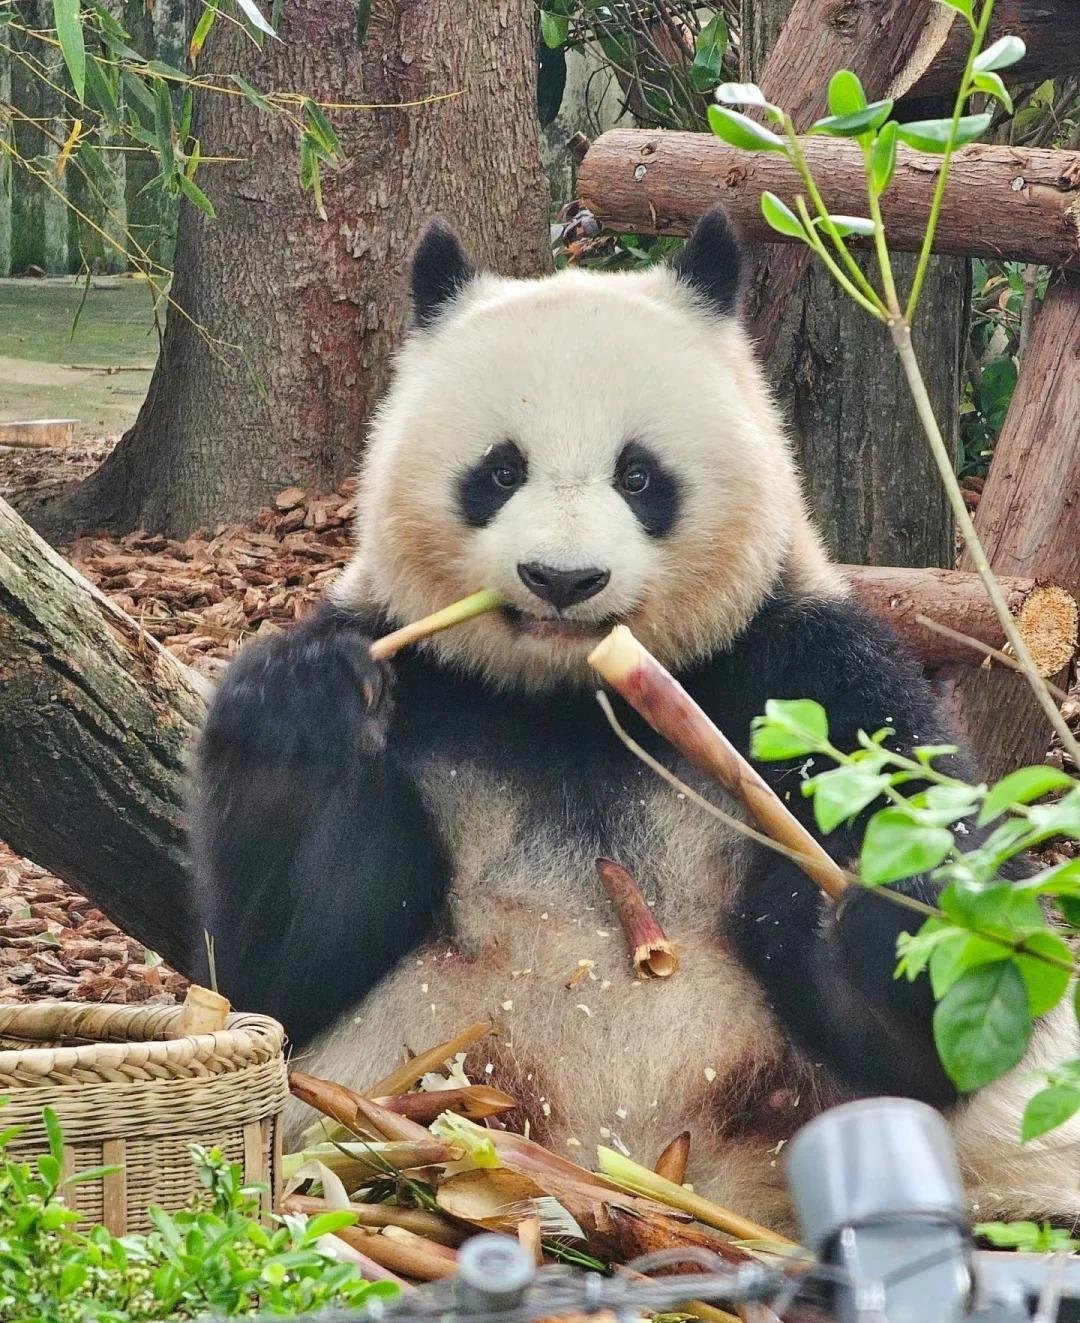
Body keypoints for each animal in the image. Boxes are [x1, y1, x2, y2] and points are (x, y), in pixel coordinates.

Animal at [193, 208, 1080, 1234]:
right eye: (500, 470)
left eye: (641, 476)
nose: (564, 579)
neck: (574, 696)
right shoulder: (424, 681)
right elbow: (291, 957)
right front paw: (299, 708)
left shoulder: (803, 669)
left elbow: (933, 1029)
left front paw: (899, 917)